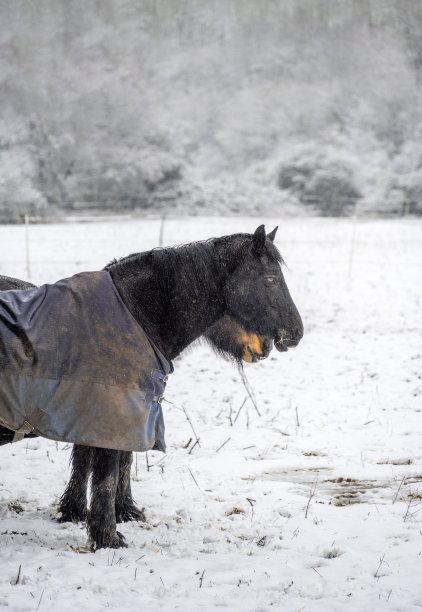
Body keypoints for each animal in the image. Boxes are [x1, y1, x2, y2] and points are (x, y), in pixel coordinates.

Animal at [0, 225, 304, 548]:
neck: (132, 316)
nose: (296, 333)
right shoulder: (111, 415)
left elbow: (114, 461)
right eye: (270, 278)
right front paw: (107, 537)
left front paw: (113, 512)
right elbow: (106, 473)